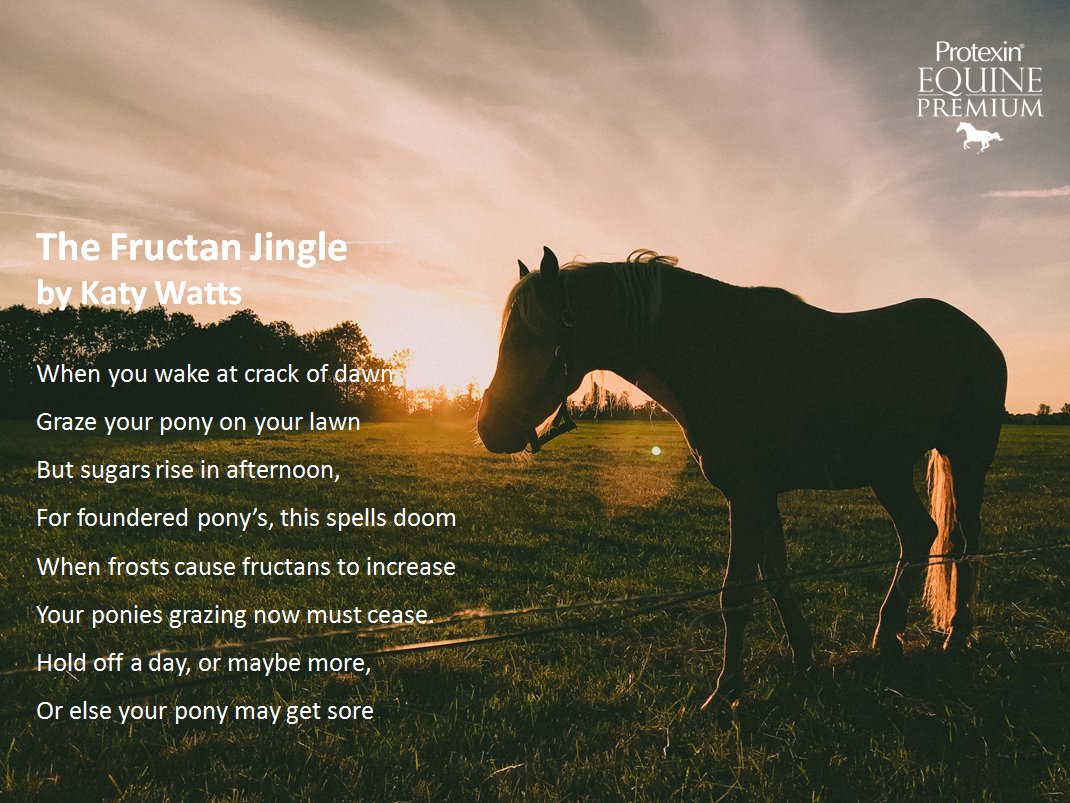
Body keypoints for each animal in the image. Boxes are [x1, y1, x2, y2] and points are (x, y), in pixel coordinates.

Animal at [477, 247, 1007, 712]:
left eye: (529, 336)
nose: (489, 428)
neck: (723, 354)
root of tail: (975, 334)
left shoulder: (748, 496)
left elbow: (735, 594)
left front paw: (726, 691)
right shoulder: (760, 496)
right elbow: (775, 578)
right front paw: (804, 657)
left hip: (965, 460)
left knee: (964, 543)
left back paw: (956, 634)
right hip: (888, 471)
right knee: (919, 534)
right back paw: (889, 637)